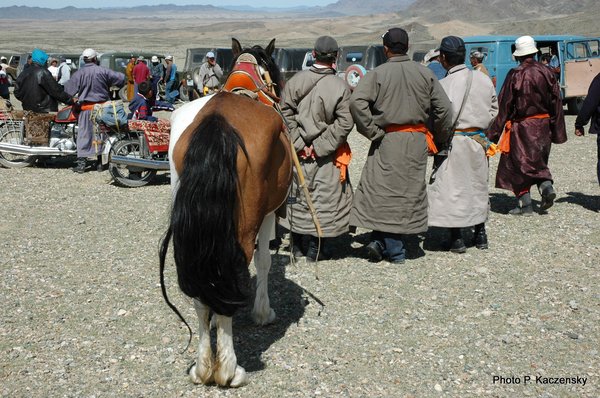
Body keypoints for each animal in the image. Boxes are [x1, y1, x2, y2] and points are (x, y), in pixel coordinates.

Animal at [158, 38, 292, 388]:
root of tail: (217, 124)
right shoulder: (269, 214)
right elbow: (264, 260)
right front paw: (263, 313)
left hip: (191, 230)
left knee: (200, 292)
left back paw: (204, 366)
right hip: (241, 228)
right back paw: (228, 369)